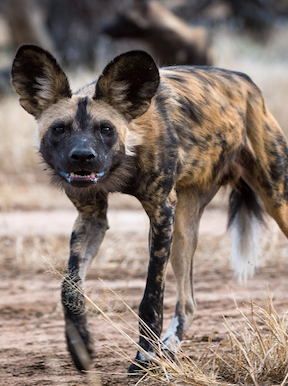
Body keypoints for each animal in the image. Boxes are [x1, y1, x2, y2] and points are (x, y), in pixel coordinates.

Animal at [12, 45, 288, 374]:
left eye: (105, 129)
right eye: (59, 129)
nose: (82, 157)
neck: (126, 156)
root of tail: (248, 83)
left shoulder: (160, 213)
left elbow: (151, 297)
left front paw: (144, 357)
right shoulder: (92, 217)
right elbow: (69, 289)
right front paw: (81, 345)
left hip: (275, 200)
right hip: (184, 228)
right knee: (188, 302)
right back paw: (168, 348)